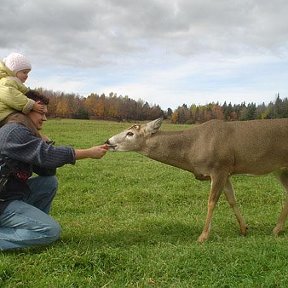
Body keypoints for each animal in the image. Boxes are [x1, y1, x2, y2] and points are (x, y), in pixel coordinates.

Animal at [106, 117, 288, 241]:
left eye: (130, 133)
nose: (108, 141)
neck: (192, 149)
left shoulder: (219, 168)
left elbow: (211, 202)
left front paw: (203, 237)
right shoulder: (226, 172)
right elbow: (232, 200)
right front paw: (244, 229)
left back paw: (276, 230)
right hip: (280, 170)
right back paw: (277, 229)